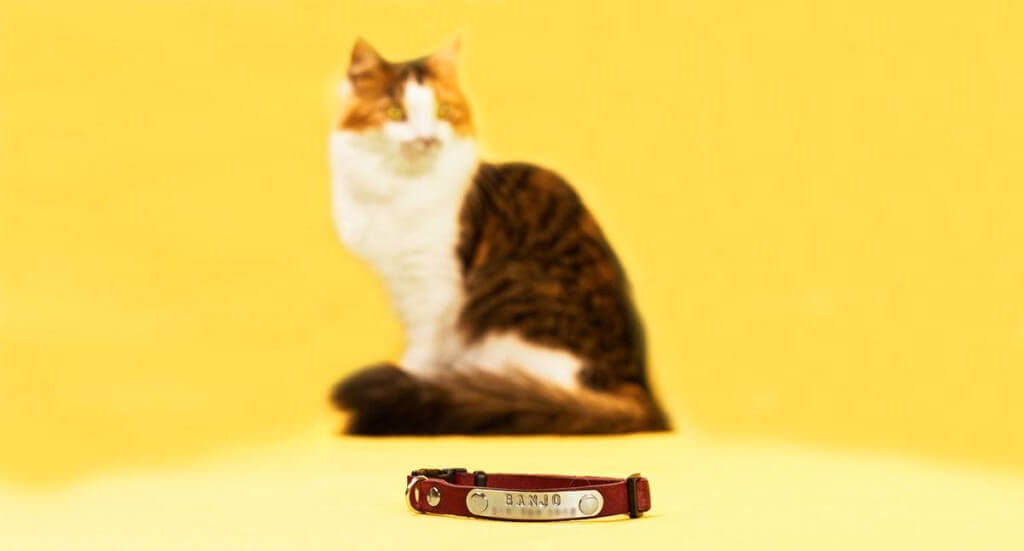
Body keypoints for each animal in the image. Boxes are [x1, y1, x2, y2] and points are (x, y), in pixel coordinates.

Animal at [323, 38, 667, 432]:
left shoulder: (434, 288)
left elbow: (424, 350)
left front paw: (411, 377)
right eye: (395, 113)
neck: (400, 189)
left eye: (442, 111)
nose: (427, 139)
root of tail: (637, 387)